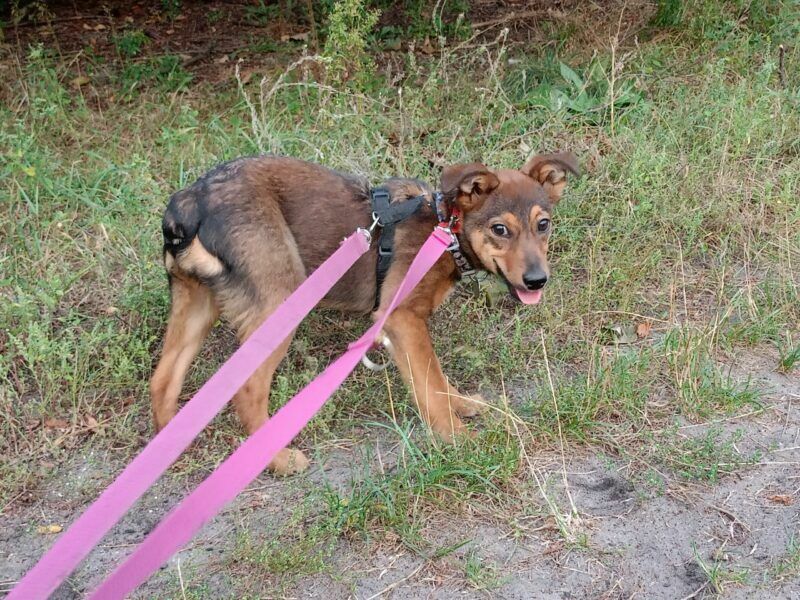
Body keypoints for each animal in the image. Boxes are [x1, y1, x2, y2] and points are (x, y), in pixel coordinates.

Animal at [150, 154, 578, 475]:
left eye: (544, 225)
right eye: (500, 229)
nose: (537, 281)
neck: (446, 229)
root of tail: (189, 202)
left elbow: (436, 382)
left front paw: (462, 405)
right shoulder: (402, 318)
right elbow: (430, 385)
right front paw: (461, 441)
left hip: (195, 305)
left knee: (163, 379)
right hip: (281, 302)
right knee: (246, 390)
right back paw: (277, 460)